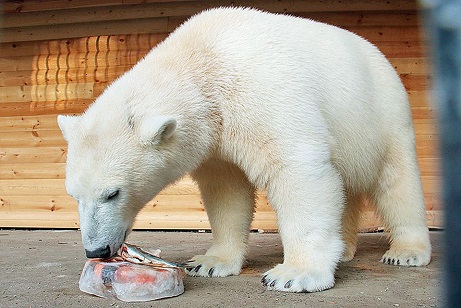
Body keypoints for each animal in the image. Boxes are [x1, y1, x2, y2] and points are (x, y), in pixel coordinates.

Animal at [57, 6, 432, 292]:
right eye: (74, 195)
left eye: (113, 193)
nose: (96, 250)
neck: (203, 60)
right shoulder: (214, 137)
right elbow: (226, 191)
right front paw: (209, 263)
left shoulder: (263, 91)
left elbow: (298, 171)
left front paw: (295, 274)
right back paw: (345, 250)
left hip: (382, 110)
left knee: (397, 180)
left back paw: (406, 251)